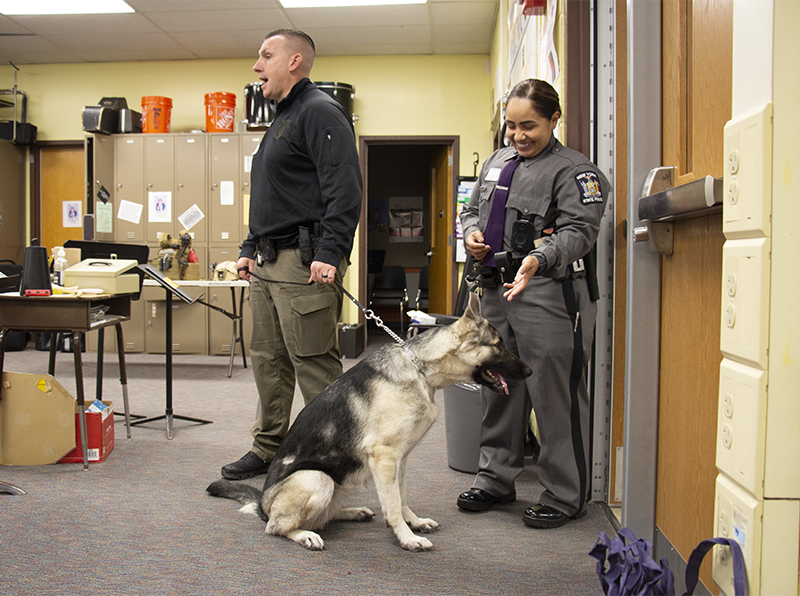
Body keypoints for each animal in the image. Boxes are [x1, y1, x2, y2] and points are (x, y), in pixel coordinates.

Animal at [208, 296, 532, 552]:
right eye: (499, 345)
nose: (529, 371)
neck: (421, 368)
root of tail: (263, 504)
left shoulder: (400, 460)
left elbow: (401, 497)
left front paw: (413, 523)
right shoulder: (385, 457)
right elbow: (393, 504)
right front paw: (406, 537)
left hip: (338, 483)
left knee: (325, 515)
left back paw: (352, 512)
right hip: (317, 478)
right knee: (277, 527)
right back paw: (304, 535)